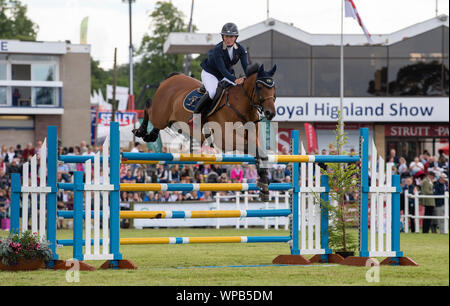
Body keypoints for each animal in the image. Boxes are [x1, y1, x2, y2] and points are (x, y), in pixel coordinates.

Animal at [132, 63, 276, 201]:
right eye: (259, 86)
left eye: (273, 87)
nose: (271, 113)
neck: (242, 105)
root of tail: (172, 78)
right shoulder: (226, 139)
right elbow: (255, 149)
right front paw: (264, 183)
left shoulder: (251, 136)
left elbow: (260, 152)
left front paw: (264, 184)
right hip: (160, 115)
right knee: (148, 106)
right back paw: (140, 131)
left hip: (168, 120)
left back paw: (151, 135)